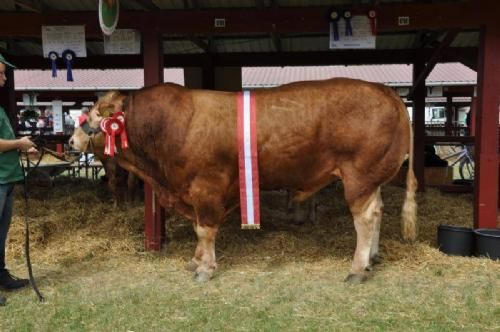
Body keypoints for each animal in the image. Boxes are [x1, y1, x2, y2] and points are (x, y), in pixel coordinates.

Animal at [68, 78, 416, 282]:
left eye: (97, 115)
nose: (72, 141)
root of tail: (387, 92)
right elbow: (199, 230)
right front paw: (196, 261)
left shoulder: (206, 187)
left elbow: (204, 229)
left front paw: (205, 268)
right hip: (371, 178)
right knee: (379, 210)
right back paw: (372, 258)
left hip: (358, 175)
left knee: (365, 218)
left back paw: (357, 268)